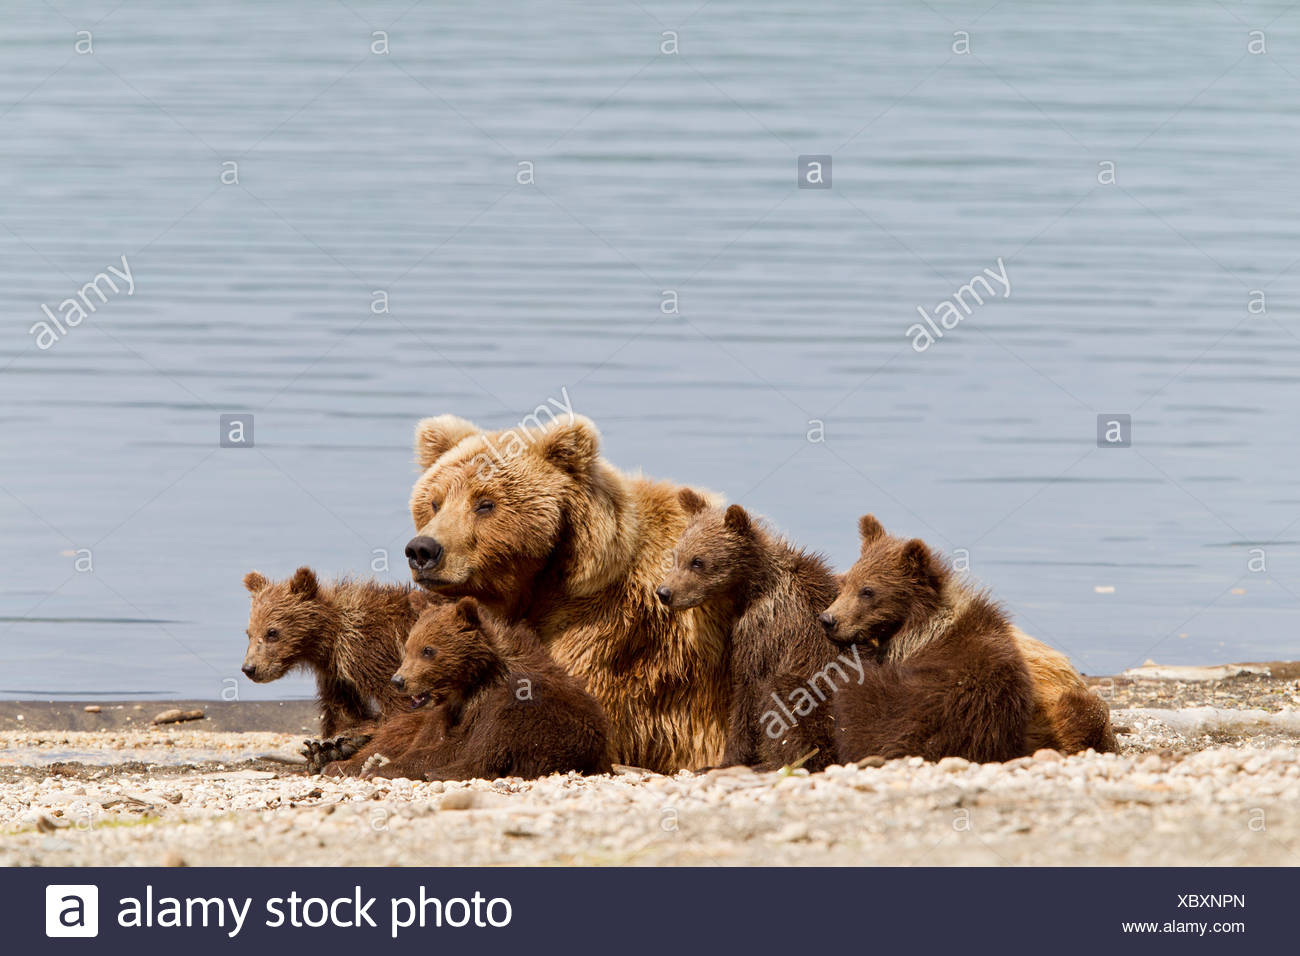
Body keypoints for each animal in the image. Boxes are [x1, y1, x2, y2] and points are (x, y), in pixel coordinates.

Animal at [242, 567, 426, 738]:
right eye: (249, 633)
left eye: (272, 632)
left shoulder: (376, 651)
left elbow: (400, 702)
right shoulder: (335, 675)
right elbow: (342, 711)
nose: (249, 668)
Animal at [320, 593, 612, 781]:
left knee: (492, 740)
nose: (399, 681)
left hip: (553, 721)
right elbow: (423, 735)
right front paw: (345, 764)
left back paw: (438, 772)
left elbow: (457, 744)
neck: (472, 681)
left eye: (428, 650)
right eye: (409, 647)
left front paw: (385, 768)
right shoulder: (447, 710)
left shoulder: (484, 702)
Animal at [655, 493, 844, 772]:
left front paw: (725, 760)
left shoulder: (763, 631)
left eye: (698, 561)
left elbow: (749, 692)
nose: (664, 592)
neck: (751, 589)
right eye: (676, 556)